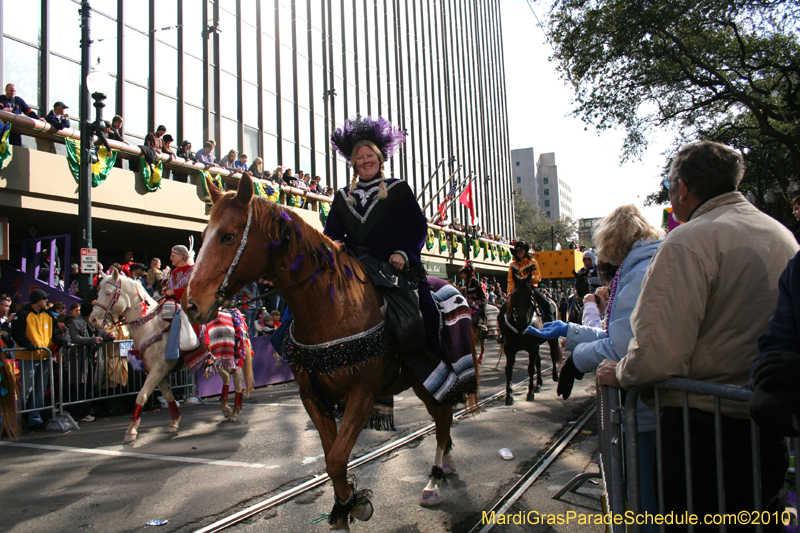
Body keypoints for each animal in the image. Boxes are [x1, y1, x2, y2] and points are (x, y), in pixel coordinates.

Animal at [88, 268, 252, 442]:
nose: (93, 319)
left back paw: (235, 411)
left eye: (108, 293)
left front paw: (131, 431)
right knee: (226, 378)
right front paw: (174, 422)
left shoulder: (158, 369)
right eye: (98, 292)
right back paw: (226, 408)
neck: (149, 326)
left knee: (237, 379)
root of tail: (234, 313)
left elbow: (141, 396)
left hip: (230, 357)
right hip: (215, 360)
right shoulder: (156, 372)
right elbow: (168, 396)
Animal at [184, 174, 478, 528]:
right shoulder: (313, 397)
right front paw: (344, 509)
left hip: (431, 376)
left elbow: (337, 459)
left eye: (227, 236)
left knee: (442, 420)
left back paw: (434, 481)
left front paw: (357, 506)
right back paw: (445, 465)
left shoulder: (362, 394)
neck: (331, 308)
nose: (191, 304)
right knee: (443, 421)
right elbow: (330, 460)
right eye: (202, 236)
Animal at [496, 262, 560, 404]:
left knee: (553, 354)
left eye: (530, 295)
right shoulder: (509, 348)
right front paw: (509, 395)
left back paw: (555, 375)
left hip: (551, 339)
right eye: (514, 295)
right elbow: (509, 369)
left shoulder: (533, 347)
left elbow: (531, 369)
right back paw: (539, 384)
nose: (522, 319)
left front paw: (529, 393)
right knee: (539, 360)